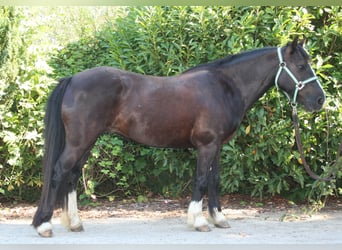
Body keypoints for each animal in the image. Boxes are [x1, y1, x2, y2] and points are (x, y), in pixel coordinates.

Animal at [31, 37, 324, 236]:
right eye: (301, 66)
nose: (320, 100)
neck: (224, 87)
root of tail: (72, 79)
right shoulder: (206, 145)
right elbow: (201, 180)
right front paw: (199, 221)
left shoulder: (217, 146)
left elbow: (214, 180)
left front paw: (219, 218)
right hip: (79, 141)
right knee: (59, 171)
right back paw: (44, 224)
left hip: (87, 142)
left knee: (71, 175)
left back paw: (74, 222)